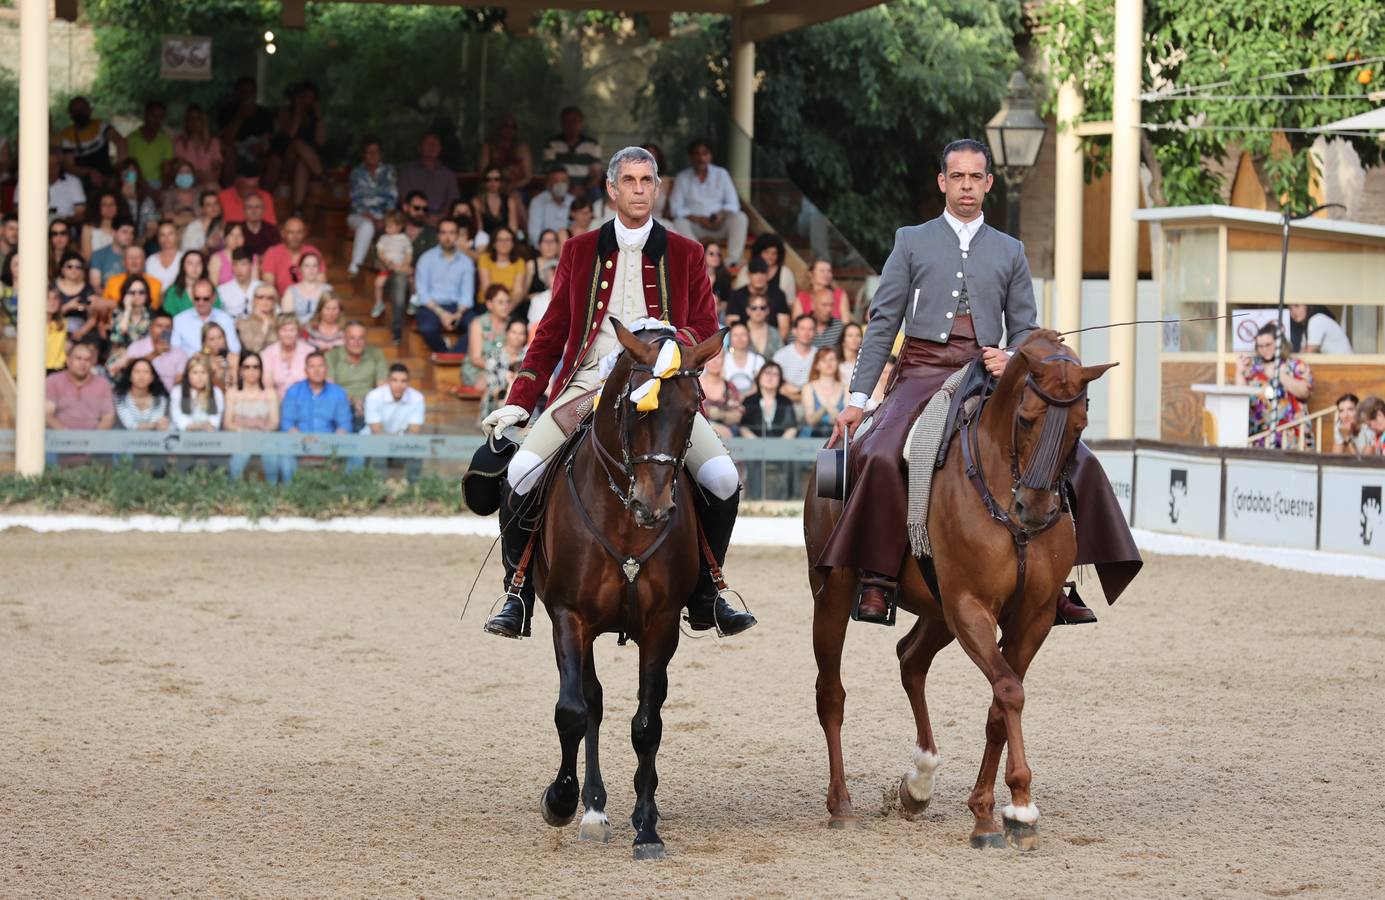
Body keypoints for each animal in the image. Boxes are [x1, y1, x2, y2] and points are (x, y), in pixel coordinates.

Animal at [520, 318, 731, 858]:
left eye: (692, 408)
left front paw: (647, 826)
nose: (652, 509)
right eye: (636, 408)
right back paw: (592, 808)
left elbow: (647, 723)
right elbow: (573, 710)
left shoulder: (661, 626)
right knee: (590, 702)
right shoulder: (569, 618)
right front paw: (561, 800)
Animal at [803, 330, 1113, 847]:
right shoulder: (971, 608)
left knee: (910, 660)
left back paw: (919, 783)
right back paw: (841, 804)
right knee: (831, 695)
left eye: (1079, 425)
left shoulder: (1032, 617)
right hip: (833, 597)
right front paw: (1019, 808)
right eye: (1026, 419)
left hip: (937, 612)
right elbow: (1008, 690)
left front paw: (988, 811)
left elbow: (1000, 705)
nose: (1034, 510)